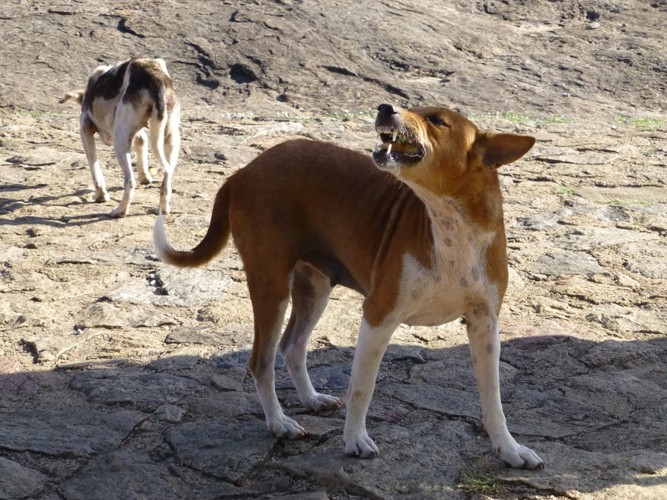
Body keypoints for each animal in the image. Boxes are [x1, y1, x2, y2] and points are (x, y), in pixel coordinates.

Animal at [61, 57, 181, 218]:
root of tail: (155, 78)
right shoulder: (137, 133)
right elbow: (142, 142)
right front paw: (145, 177)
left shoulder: (85, 129)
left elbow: (95, 170)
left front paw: (101, 195)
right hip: (171, 138)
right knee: (166, 179)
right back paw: (163, 208)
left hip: (120, 142)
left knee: (129, 182)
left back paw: (119, 211)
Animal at [154, 102, 544, 468]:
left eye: (436, 120)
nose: (386, 107)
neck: (450, 226)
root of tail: (242, 172)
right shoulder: (378, 316)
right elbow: (362, 388)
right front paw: (355, 440)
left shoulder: (484, 324)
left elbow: (493, 399)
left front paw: (510, 450)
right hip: (271, 286)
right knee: (261, 361)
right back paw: (279, 422)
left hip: (314, 289)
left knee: (292, 346)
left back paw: (311, 399)